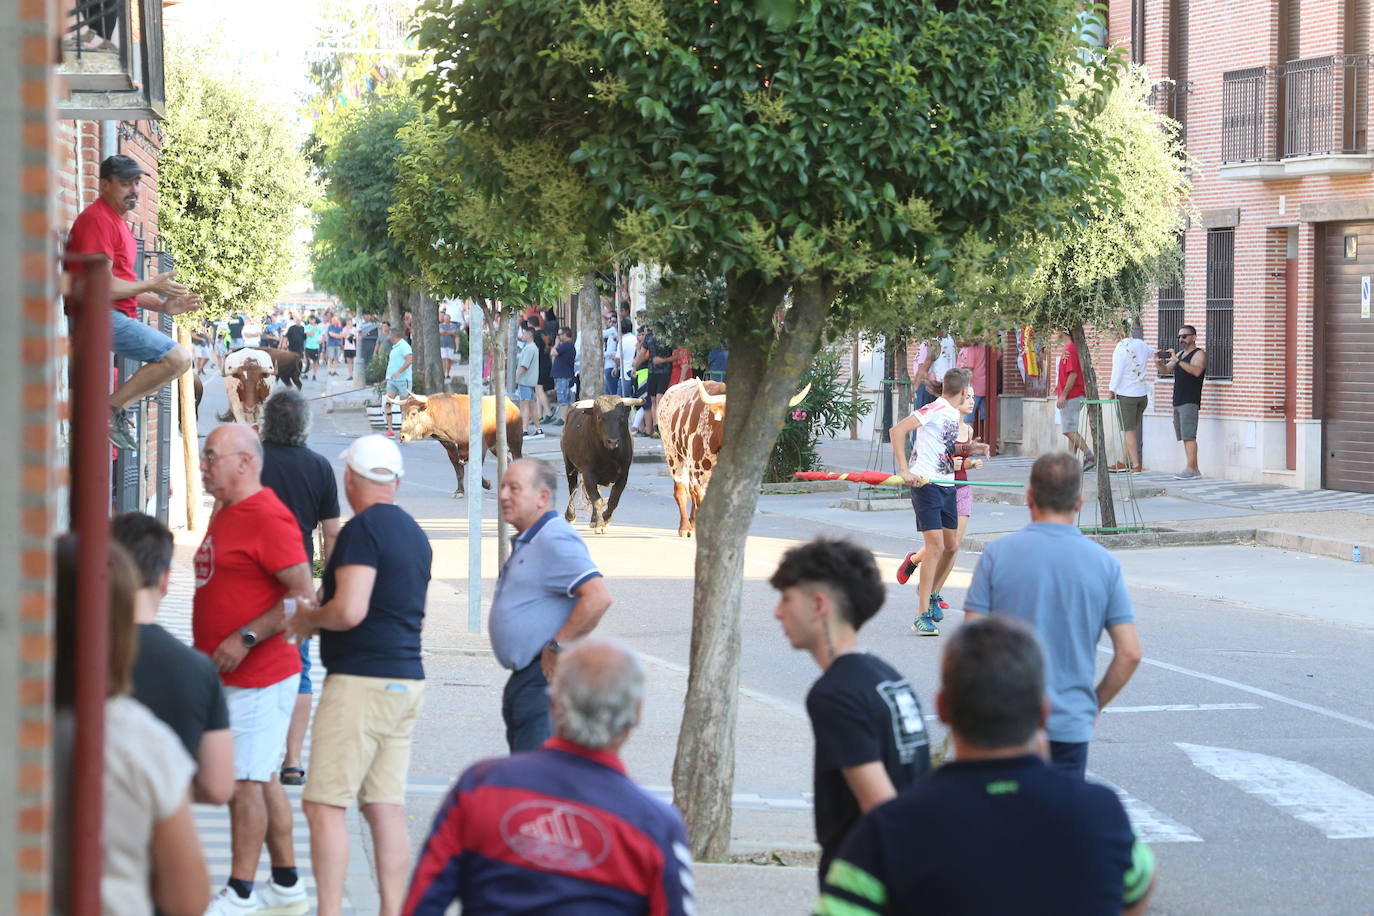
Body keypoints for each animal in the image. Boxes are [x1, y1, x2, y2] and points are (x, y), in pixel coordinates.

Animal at [557, 395, 643, 538]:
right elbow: (597, 500)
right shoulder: (588, 473)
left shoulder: (623, 475)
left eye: (621, 417)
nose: (613, 441)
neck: (609, 455)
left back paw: (593, 519)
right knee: (572, 488)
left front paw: (605, 519)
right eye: (599, 418)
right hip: (569, 464)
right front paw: (600, 525)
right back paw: (570, 516)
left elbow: (612, 500)